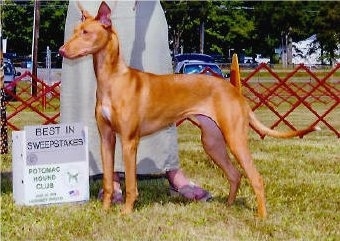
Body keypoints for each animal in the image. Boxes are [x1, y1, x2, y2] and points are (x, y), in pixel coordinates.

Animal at [59, 1, 318, 218]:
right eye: (74, 31)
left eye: (86, 32)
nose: (61, 50)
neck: (112, 79)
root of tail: (233, 88)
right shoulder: (107, 138)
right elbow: (106, 180)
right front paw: (105, 209)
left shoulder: (130, 141)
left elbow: (131, 183)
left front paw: (126, 212)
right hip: (213, 141)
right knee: (235, 175)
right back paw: (228, 207)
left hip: (235, 139)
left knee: (256, 178)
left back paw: (261, 217)